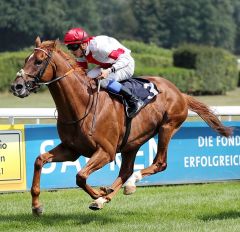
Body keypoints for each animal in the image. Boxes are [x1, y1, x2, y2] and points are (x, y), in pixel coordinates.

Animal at [10, 37, 232, 215]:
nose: (16, 86)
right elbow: (40, 160)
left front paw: (98, 193)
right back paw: (111, 194)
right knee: (125, 170)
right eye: (25, 59)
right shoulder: (71, 149)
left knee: (159, 163)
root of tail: (180, 93)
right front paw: (36, 206)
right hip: (132, 142)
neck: (81, 105)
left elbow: (80, 176)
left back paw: (128, 185)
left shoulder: (106, 151)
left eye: (39, 61)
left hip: (167, 127)